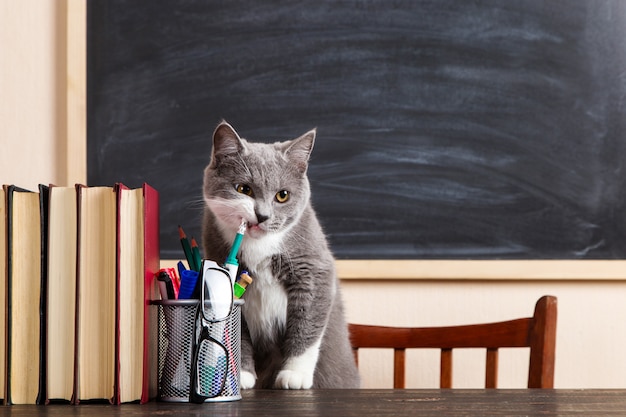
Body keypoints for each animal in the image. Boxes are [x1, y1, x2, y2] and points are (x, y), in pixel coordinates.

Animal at [202, 122, 358, 388]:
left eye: (282, 195)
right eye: (243, 189)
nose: (262, 216)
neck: (259, 245)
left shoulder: (313, 268)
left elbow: (307, 323)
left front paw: (294, 375)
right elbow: (237, 329)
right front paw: (241, 376)